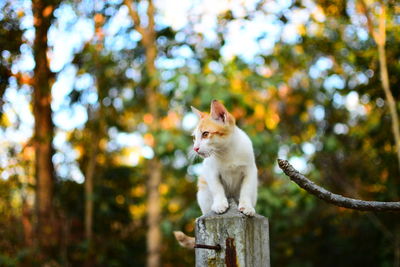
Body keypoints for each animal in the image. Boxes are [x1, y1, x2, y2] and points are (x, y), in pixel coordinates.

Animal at [173, 100, 258, 249]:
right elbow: (217, 188)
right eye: (194, 138)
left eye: (205, 134)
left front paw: (246, 206)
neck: (226, 151)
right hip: (203, 191)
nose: (195, 148)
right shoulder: (210, 171)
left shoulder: (251, 170)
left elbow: (246, 189)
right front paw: (220, 204)